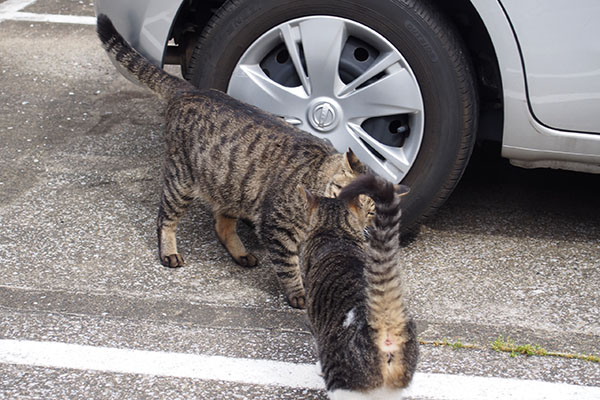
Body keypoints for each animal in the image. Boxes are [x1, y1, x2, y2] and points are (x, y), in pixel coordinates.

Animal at [96, 14, 368, 310]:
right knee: (165, 219)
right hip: (181, 181)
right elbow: (289, 267)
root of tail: (189, 90)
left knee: (222, 225)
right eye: (346, 194)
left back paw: (240, 254)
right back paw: (169, 252)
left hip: (233, 186)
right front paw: (299, 294)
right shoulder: (278, 230)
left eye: (371, 211)